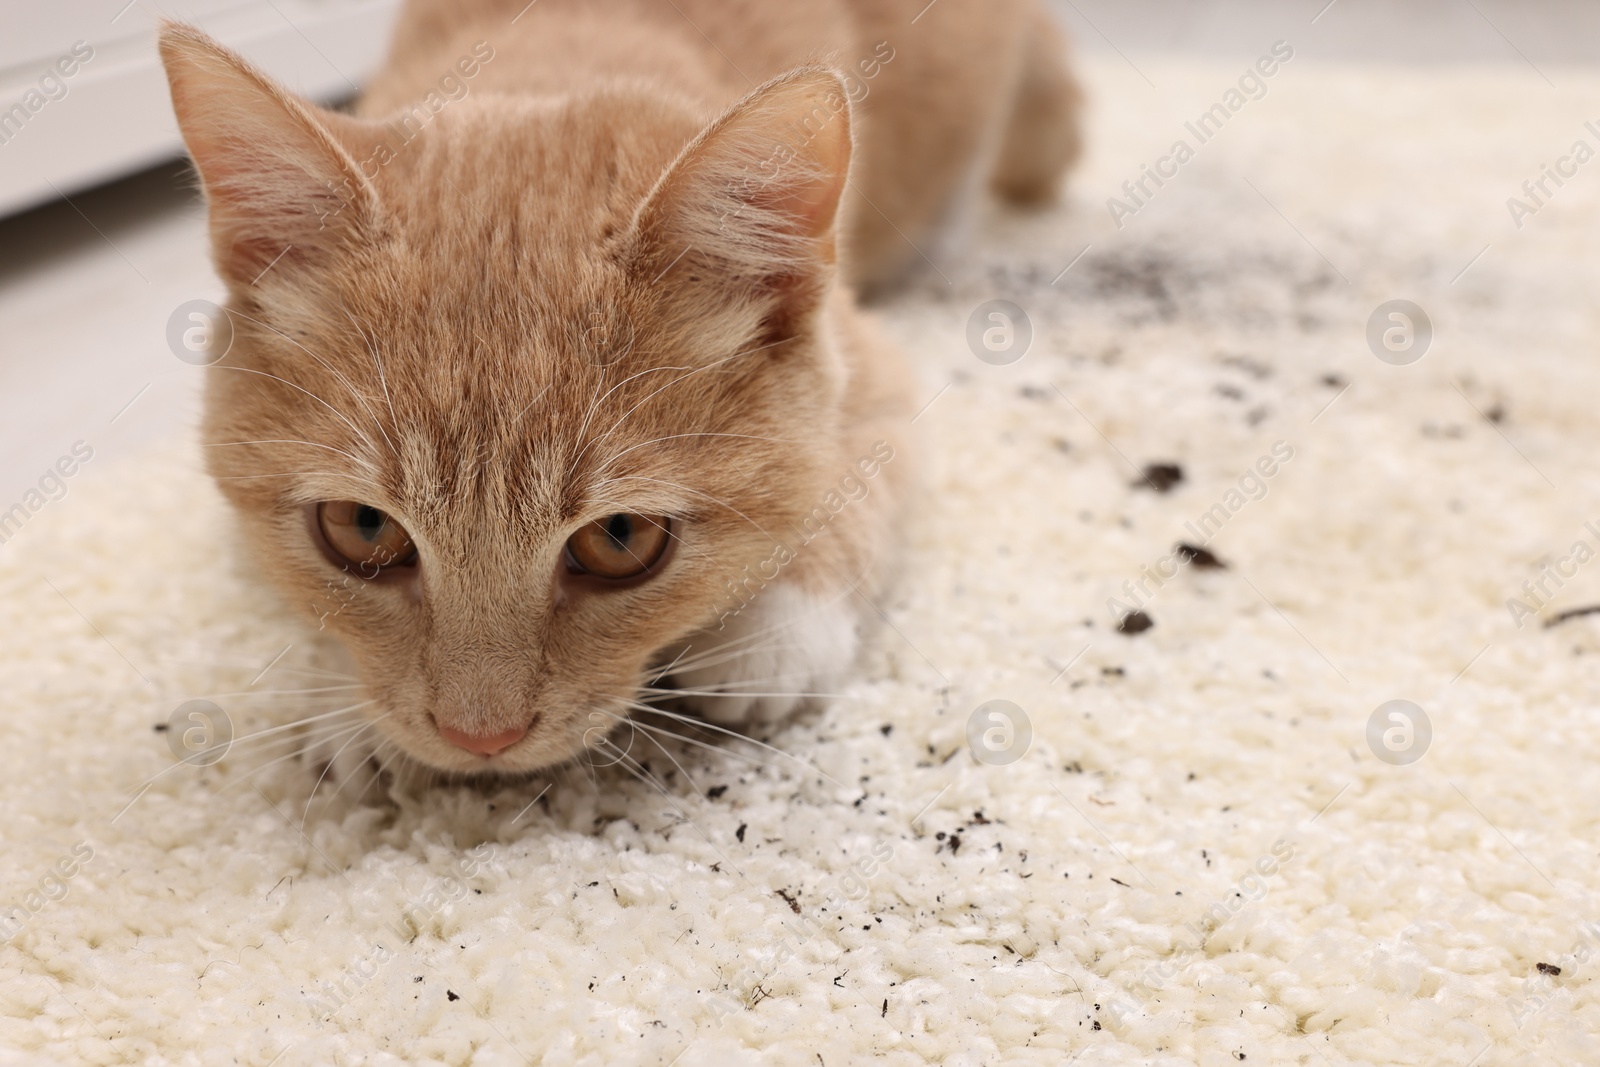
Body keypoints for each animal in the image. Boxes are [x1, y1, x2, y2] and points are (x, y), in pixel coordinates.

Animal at [156, 0, 1081, 777]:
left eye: (622, 538)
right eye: (361, 527)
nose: (479, 736)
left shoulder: (879, 371)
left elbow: (858, 478)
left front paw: (775, 628)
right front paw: (337, 694)